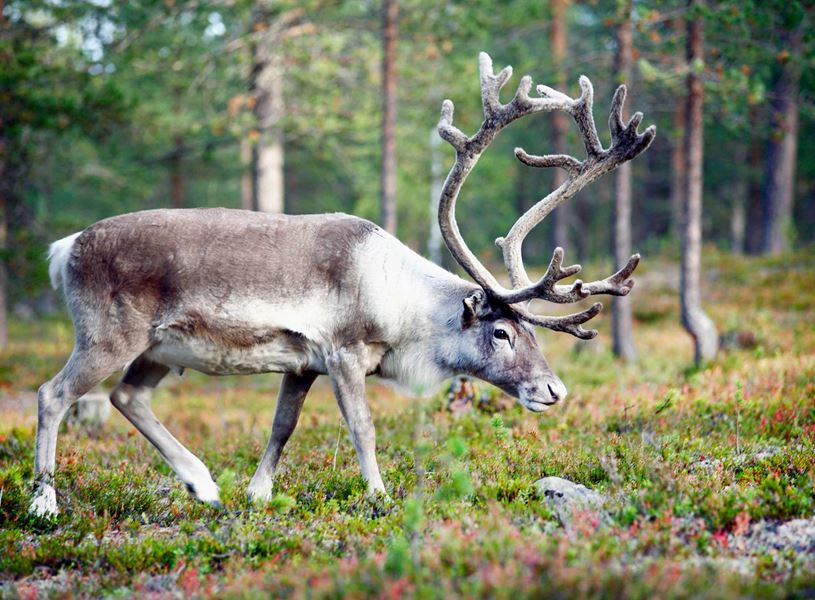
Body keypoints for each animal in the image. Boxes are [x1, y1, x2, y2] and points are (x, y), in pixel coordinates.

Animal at [30, 53, 654, 517]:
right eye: (501, 331)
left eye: (531, 331)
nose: (554, 390)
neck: (401, 308)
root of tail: (65, 249)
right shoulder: (343, 351)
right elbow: (363, 428)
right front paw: (380, 497)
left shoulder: (301, 364)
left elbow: (282, 427)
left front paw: (257, 495)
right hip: (108, 335)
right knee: (53, 394)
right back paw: (44, 503)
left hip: (158, 348)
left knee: (126, 397)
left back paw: (203, 485)